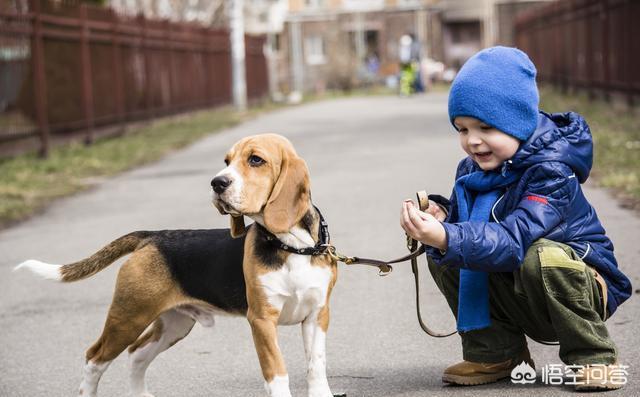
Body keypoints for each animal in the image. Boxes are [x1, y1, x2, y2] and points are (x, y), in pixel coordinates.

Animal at [13, 134, 340, 396]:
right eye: (227, 161)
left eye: (255, 159)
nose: (217, 183)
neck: (292, 246)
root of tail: (151, 236)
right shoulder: (261, 320)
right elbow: (277, 374)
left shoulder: (317, 315)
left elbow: (316, 367)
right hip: (128, 316)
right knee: (95, 358)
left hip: (174, 323)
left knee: (137, 354)